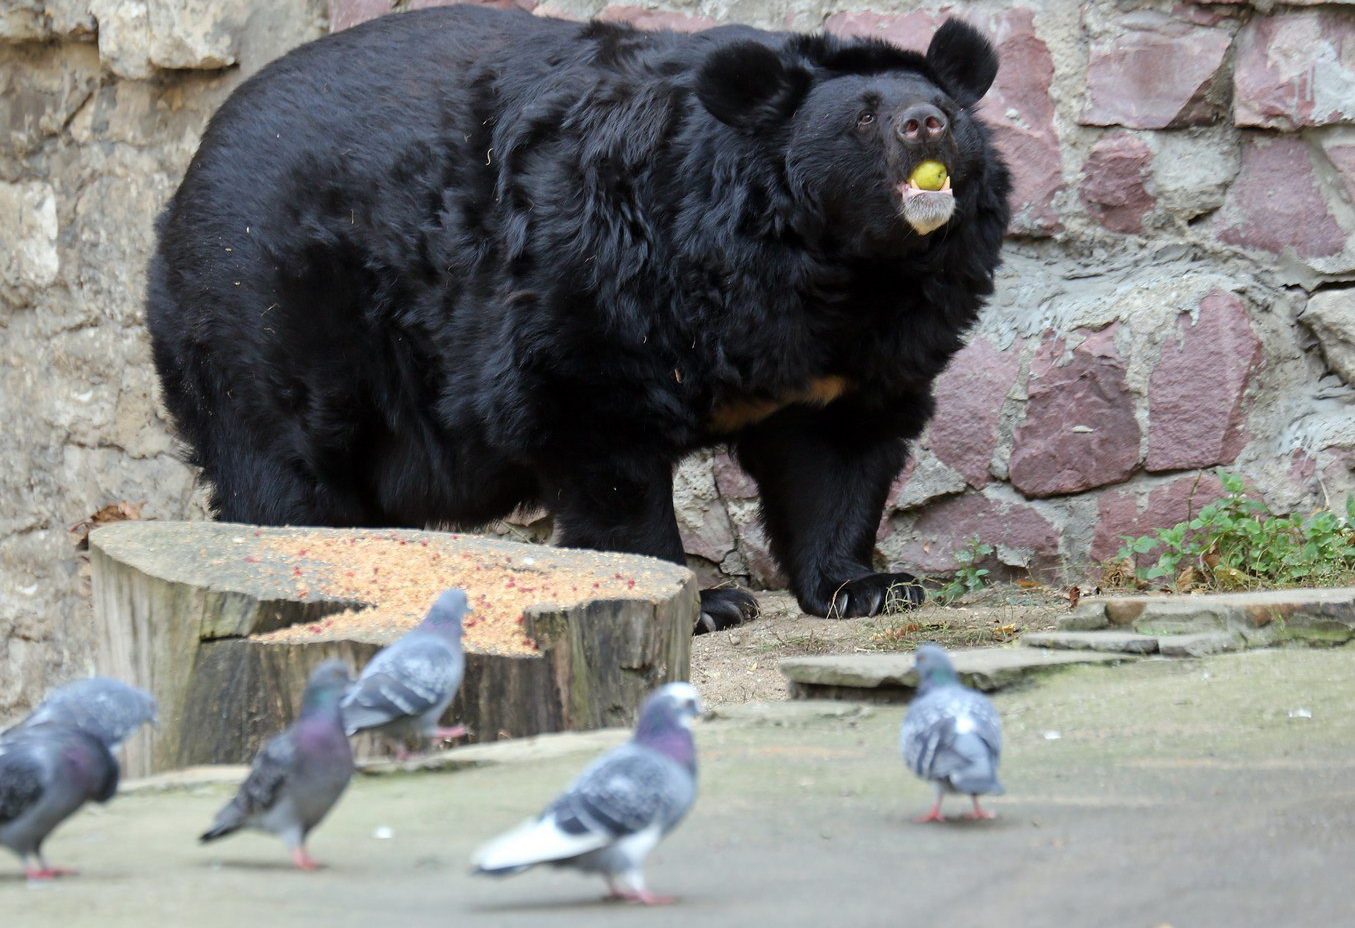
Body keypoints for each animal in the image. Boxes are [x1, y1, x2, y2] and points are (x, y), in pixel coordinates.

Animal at [153, 3, 1013, 628]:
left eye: (943, 107)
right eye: (864, 117)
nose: (924, 124)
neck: (836, 268)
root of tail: (185, 180)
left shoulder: (865, 346)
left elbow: (838, 454)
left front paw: (866, 586)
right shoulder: (604, 275)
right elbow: (599, 439)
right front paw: (704, 601)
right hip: (268, 311)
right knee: (283, 470)